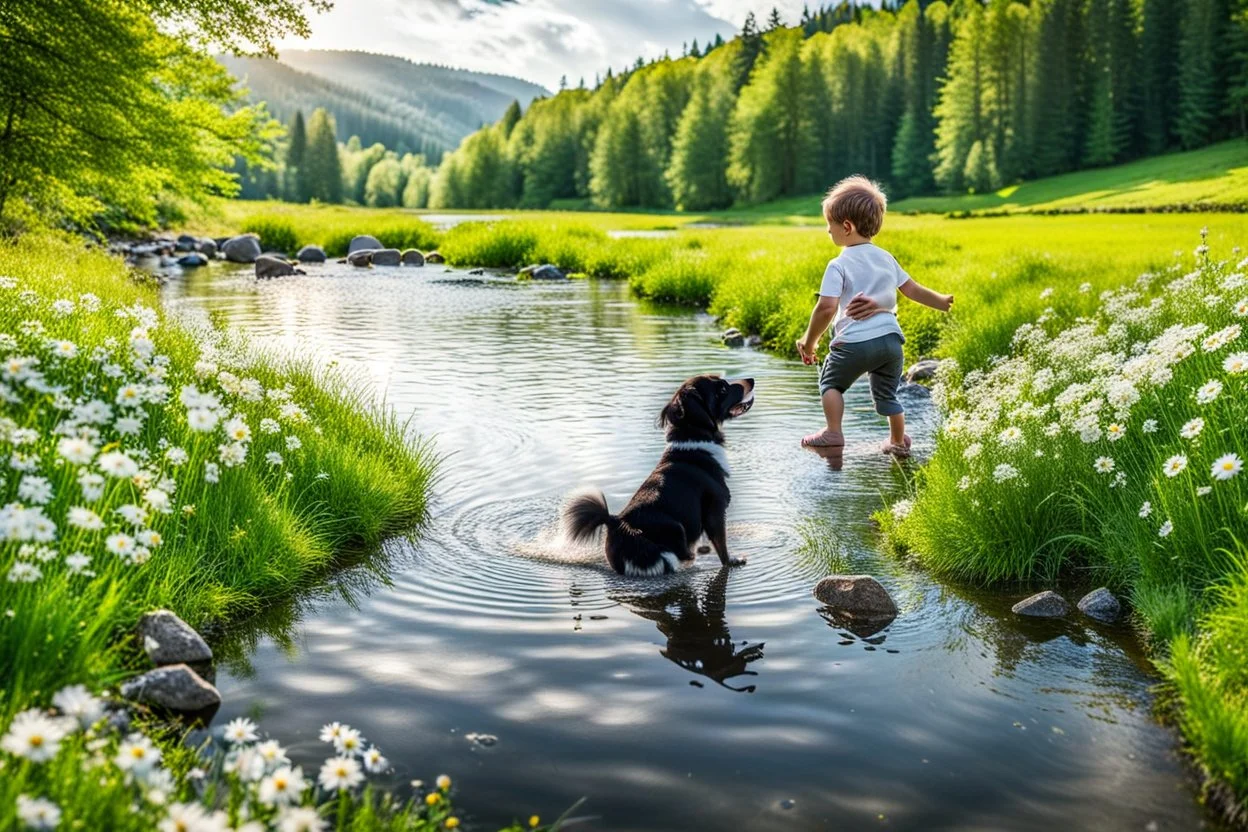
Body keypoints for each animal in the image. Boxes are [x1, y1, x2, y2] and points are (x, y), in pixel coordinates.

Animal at [564, 376, 748, 578]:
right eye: (722, 389)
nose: (751, 380)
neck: (694, 440)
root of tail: (615, 522)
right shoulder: (715, 509)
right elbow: (721, 546)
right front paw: (732, 561)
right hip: (675, 526)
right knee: (679, 556)